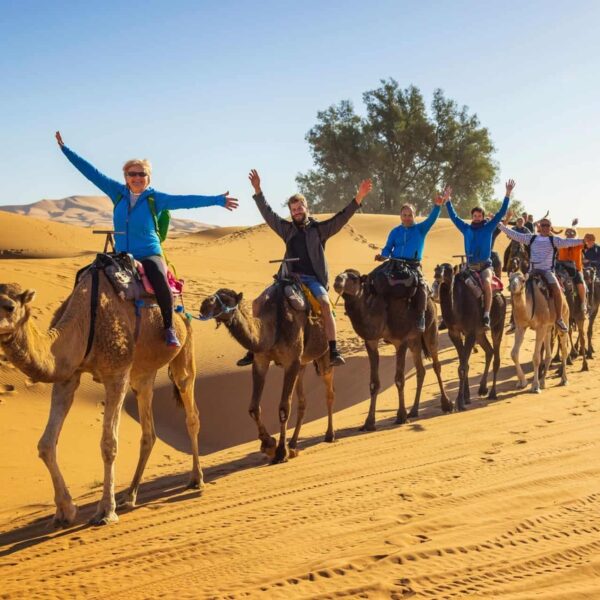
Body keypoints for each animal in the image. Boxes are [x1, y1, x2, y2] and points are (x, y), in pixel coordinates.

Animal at [0, 274, 202, 528]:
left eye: (9, 306)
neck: (83, 323)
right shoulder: (68, 376)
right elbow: (46, 444)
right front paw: (65, 511)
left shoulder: (117, 373)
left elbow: (109, 444)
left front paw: (105, 511)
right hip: (142, 373)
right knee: (148, 430)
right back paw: (130, 495)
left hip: (184, 347)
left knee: (190, 409)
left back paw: (196, 478)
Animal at [199, 286, 336, 464]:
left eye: (227, 300)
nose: (204, 305)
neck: (273, 329)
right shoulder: (261, 360)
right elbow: (253, 408)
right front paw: (269, 444)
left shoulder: (291, 361)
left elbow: (284, 408)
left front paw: (280, 452)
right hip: (303, 364)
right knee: (302, 402)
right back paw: (293, 444)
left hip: (323, 355)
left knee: (329, 393)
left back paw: (329, 435)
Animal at [332, 270, 450, 428]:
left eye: (354, 278)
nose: (337, 281)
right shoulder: (371, 342)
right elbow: (374, 383)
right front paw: (369, 422)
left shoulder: (401, 341)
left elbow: (399, 379)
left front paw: (401, 416)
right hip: (414, 341)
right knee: (421, 370)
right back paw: (414, 410)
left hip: (430, 329)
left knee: (436, 365)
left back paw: (447, 405)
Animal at [432, 264, 506, 410]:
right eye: (437, 268)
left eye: (449, 269)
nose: (437, 274)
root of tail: (502, 295)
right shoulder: (454, 333)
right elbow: (463, 363)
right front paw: (466, 398)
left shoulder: (470, 332)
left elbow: (463, 367)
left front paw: (460, 402)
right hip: (480, 333)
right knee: (489, 351)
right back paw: (482, 389)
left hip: (498, 324)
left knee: (496, 356)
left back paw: (493, 393)